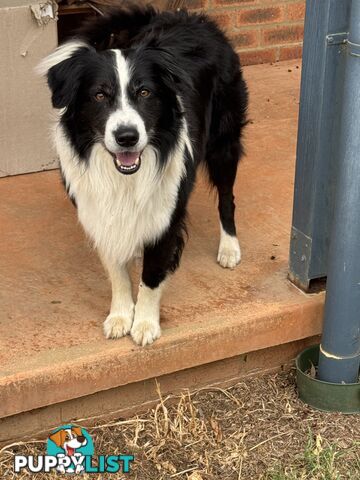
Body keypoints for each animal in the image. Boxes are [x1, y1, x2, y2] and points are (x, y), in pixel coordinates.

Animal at [38, 2, 249, 344]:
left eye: (145, 93)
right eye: (99, 95)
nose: (127, 137)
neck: (124, 178)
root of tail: (191, 17)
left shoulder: (165, 215)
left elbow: (152, 275)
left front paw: (146, 324)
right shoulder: (100, 212)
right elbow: (117, 273)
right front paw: (121, 315)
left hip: (224, 142)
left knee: (227, 198)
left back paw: (230, 248)